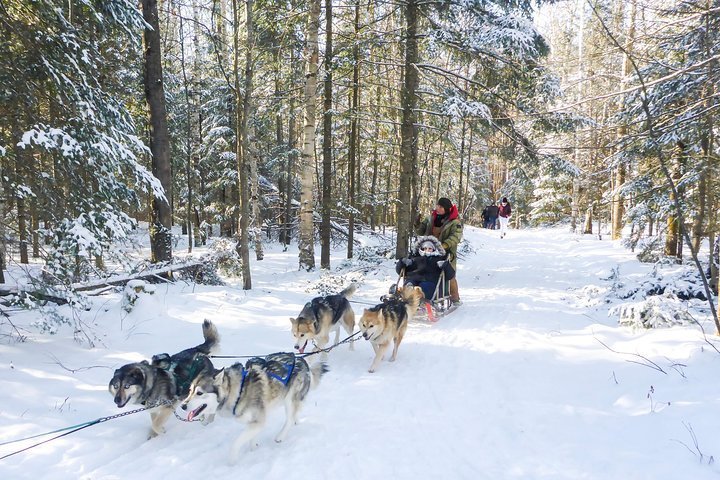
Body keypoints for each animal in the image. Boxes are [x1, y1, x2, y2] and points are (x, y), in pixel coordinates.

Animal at [181, 354, 328, 464]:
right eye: (190, 391)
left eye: (199, 393)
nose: (183, 406)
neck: (239, 391)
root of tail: (303, 361)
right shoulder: (254, 421)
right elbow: (252, 438)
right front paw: (254, 448)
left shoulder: (258, 421)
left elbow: (236, 443)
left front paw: (232, 461)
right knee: (295, 414)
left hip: (289, 399)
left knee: (290, 419)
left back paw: (281, 436)